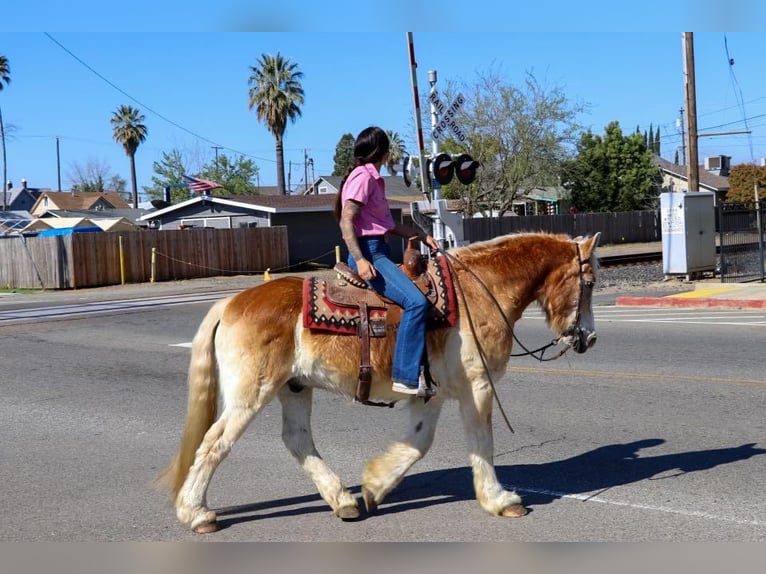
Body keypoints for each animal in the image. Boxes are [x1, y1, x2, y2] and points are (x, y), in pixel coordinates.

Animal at [154, 231, 600, 536]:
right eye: (590, 282)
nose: (589, 339)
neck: (478, 291)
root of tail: (229, 302)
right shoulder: (477, 386)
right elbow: (482, 444)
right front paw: (500, 499)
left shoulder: (430, 393)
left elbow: (418, 443)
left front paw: (374, 485)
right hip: (251, 394)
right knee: (214, 443)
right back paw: (196, 513)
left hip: (294, 388)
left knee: (297, 439)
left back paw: (343, 500)